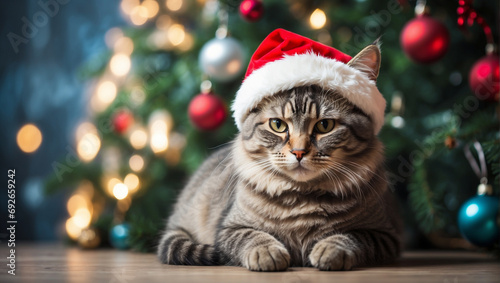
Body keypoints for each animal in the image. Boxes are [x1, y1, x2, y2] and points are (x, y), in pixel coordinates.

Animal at [158, 36, 400, 272]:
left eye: (325, 126)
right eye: (277, 125)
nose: (299, 151)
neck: (303, 198)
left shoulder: (385, 235)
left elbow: (351, 237)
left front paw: (330, 250)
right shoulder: (228, 228)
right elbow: (252, 236)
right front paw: (267, 253)